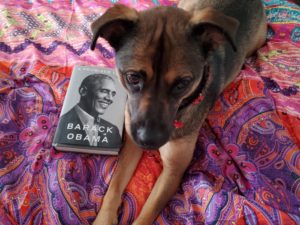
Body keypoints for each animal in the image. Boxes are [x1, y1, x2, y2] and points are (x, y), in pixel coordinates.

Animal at [90, 0, 266, 224]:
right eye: (132, 77)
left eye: (183, 83)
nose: (149, 141)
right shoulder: (131, 142)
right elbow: (114, 186)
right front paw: (104, 218)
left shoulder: (173, 172)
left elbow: (147, 213)